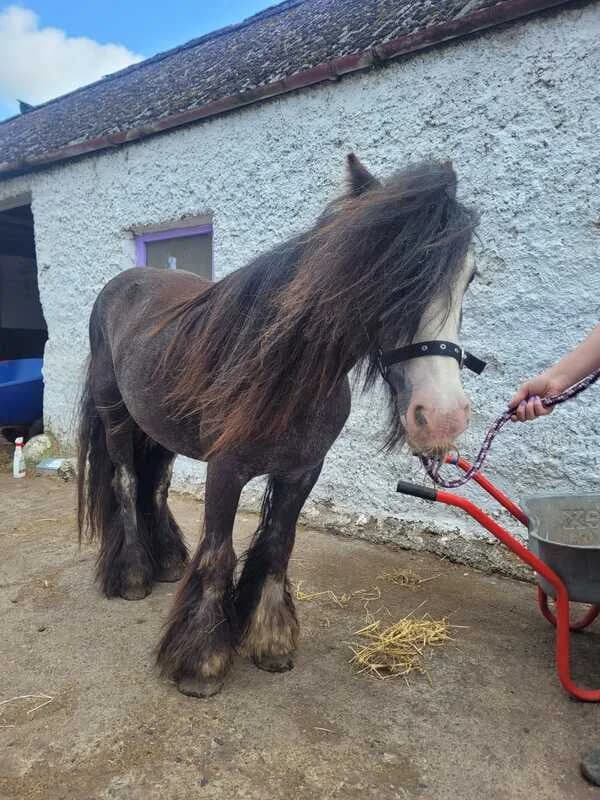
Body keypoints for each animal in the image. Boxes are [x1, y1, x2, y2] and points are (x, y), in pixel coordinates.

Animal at [77, 154, 479, 698]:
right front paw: (201, 662)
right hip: (116, 418)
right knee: (124, 481)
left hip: (158, 427)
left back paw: (168, 563)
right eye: (385, 273)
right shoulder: (225, 470)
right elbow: (219, 553)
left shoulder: (302, 471)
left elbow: (277, 546)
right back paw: (136, 575)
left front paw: (269, 641)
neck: (283, 369)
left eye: (471, 277)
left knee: (154, 484)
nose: (442, 416)